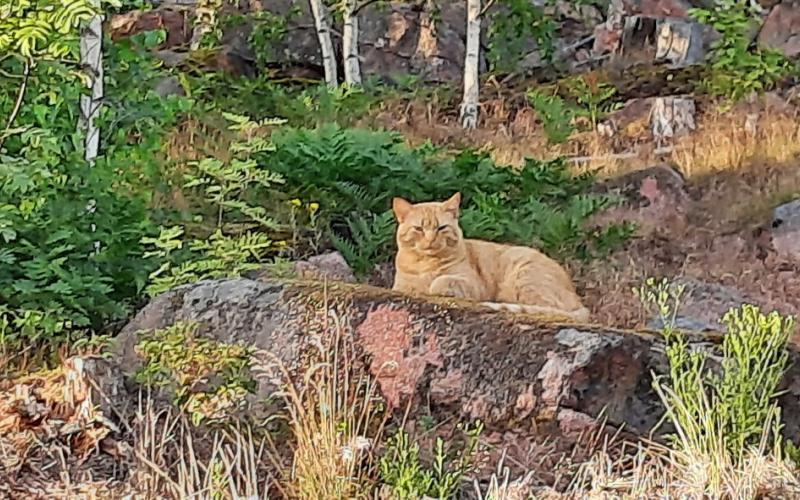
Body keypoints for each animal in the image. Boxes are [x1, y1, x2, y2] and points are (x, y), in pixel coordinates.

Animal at [390, 191, 592, 320]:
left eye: (441, 228)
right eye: (419, 229)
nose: (431, 239)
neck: (426, 263)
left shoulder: (472, 285)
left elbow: (441, 281)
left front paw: (432, 286)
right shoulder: (399, 286)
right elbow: (409, 287)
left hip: (524, 276)